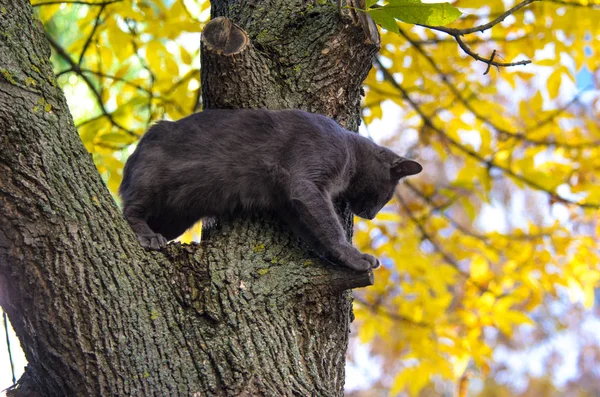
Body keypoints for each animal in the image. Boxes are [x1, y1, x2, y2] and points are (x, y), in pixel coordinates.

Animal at [119, 107, 422, 270]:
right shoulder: (306, 183)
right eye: (386, 197)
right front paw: (353, 256)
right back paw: (149, 236)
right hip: (152, 181)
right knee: (130, 210)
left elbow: (314, 231)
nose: (372, 215)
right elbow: (331, 227)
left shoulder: (288, 202)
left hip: (178, 215)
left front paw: (335, 258)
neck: (350, 152)